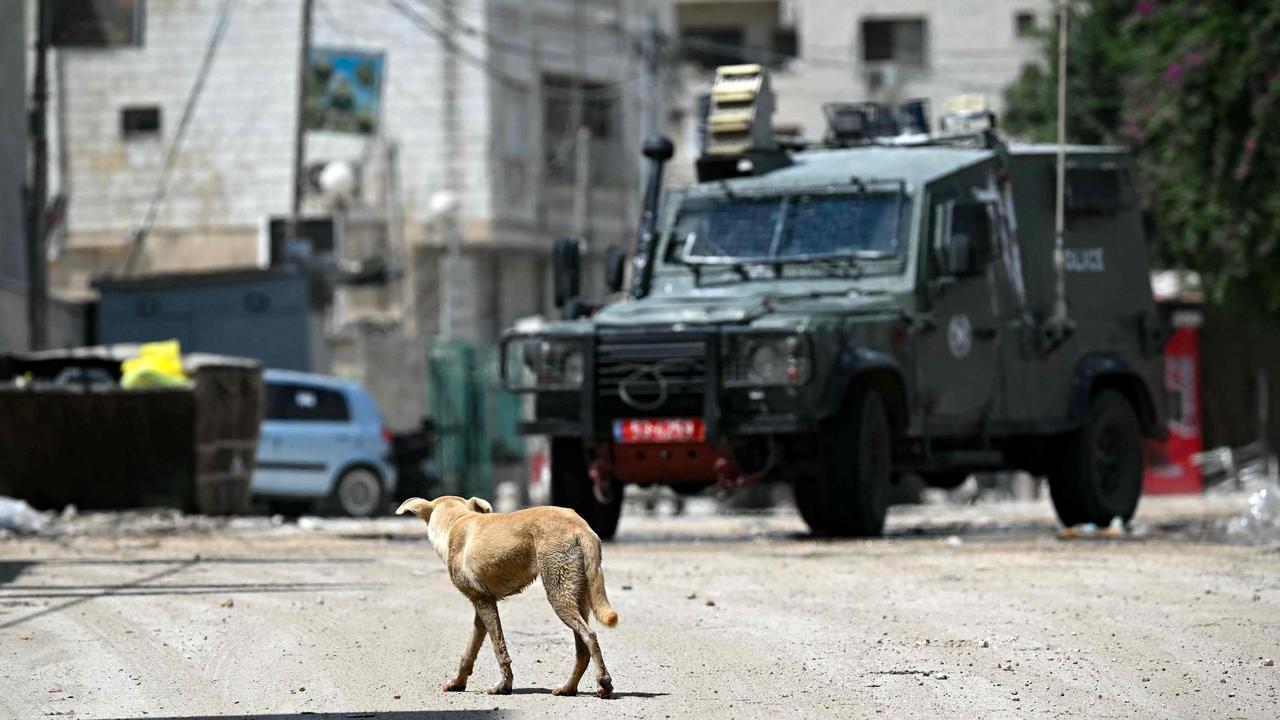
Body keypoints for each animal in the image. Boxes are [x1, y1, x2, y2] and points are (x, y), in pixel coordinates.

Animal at [399, 491, 619, 696]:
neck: (456, 519)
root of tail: (581, 527)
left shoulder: (483, 602)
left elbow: (499, 648)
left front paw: (503, 686)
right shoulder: (483, 604)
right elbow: (470, 651)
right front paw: (458, 683)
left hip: (558, 594)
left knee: (590, 636)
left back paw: (603, 683)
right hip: (579, 596)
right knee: (582, 651)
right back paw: (569, 688)